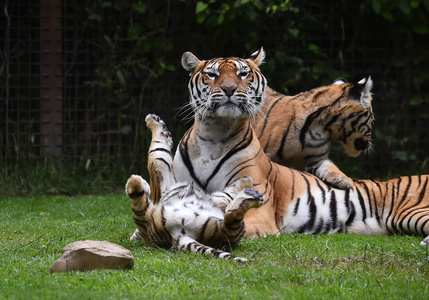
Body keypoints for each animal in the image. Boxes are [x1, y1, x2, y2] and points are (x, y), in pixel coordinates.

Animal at [124, 113, 264, 262]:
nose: (248, 177)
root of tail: (176, 238)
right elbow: (157, 151)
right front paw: (154, 121)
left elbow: (157, 152)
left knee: (230, 221)